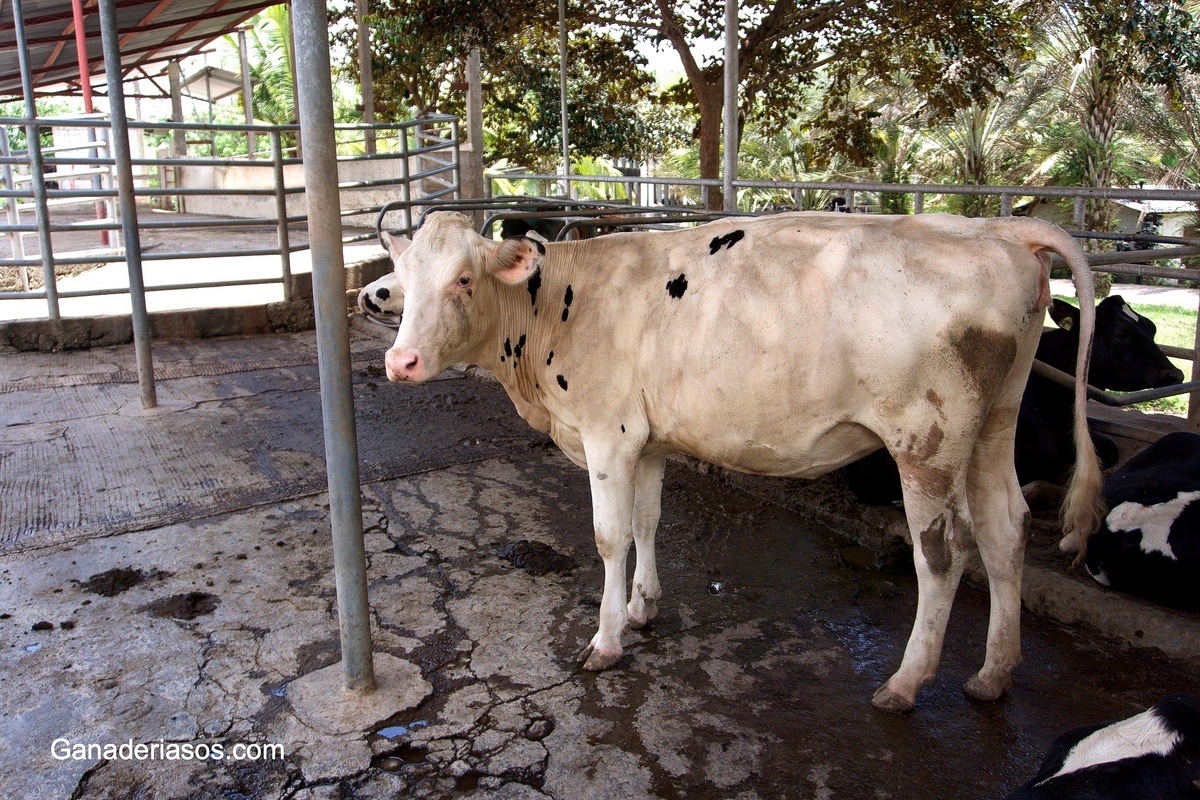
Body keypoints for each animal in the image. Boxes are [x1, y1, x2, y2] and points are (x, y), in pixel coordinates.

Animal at [374, 211, 1104, 714]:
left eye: (463, 279)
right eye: (403, 283)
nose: (400, 361)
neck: (562, 303)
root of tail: (995, 228)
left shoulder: (608, 435)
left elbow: (610, 537)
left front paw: (606, 641)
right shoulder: (648, 439)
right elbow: (648, 522)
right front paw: (643, 607)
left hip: (926, 442)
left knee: (943, 552)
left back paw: (906, 681)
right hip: (993, 425)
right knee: (1005, 529)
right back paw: (994, 673)